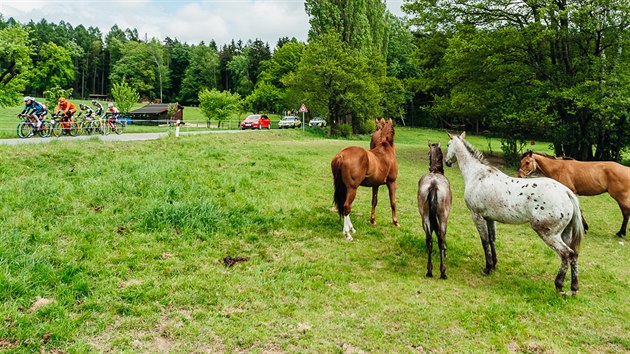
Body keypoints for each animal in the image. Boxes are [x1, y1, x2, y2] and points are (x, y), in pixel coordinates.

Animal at [418, 142, 452, 278]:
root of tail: (433, 184)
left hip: (425, 216)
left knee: (429, 240)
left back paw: (429, 270)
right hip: (443, 216)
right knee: (441, 238)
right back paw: (443, 271)